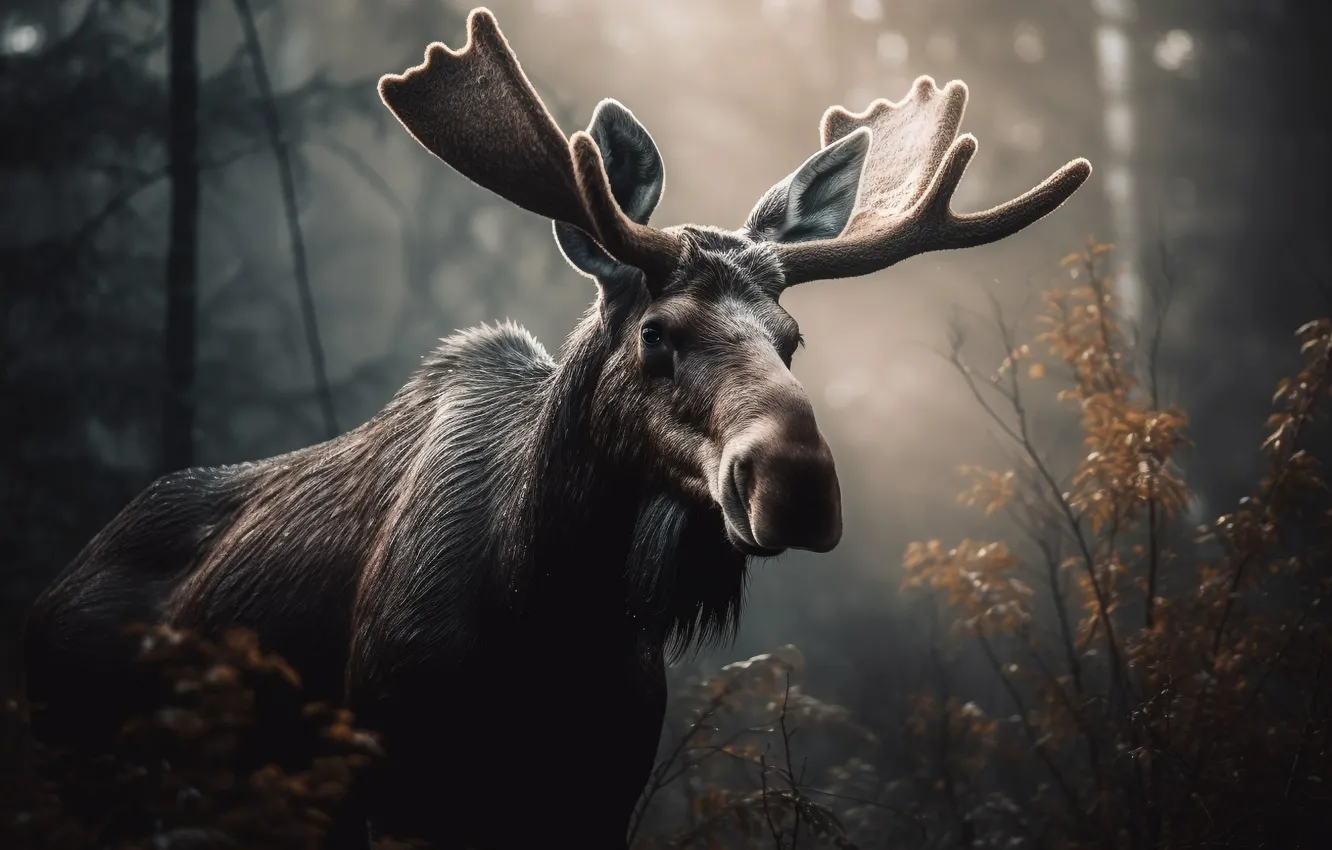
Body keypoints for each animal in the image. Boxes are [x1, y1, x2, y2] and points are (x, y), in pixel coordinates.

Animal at [22, 7, 1091, 849]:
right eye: (657, 332)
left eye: (792, 340)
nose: (797, 481)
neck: (551, 610)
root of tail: (50, 592)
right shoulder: (397, 777)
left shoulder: (598, 792)